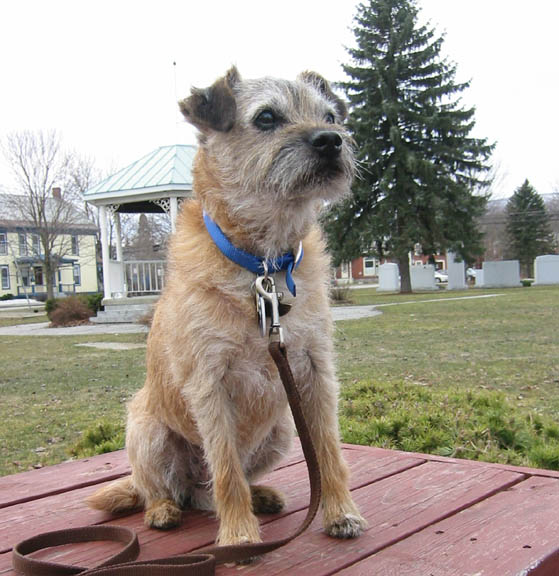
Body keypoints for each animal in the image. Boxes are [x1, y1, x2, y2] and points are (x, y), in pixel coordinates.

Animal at [87, 67, 366, 548]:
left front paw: (340, 511)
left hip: (281, 430)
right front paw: (238, 536)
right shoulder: (210, 384)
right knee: (160, 488)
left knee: (206, 492)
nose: (332, 140)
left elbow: (329, 449)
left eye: (331, 116)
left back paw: (261, 495)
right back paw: (164, 510)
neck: (264, 265)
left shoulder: (315, 372)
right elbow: (226, 470)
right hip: (148, 430)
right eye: (267, 117)